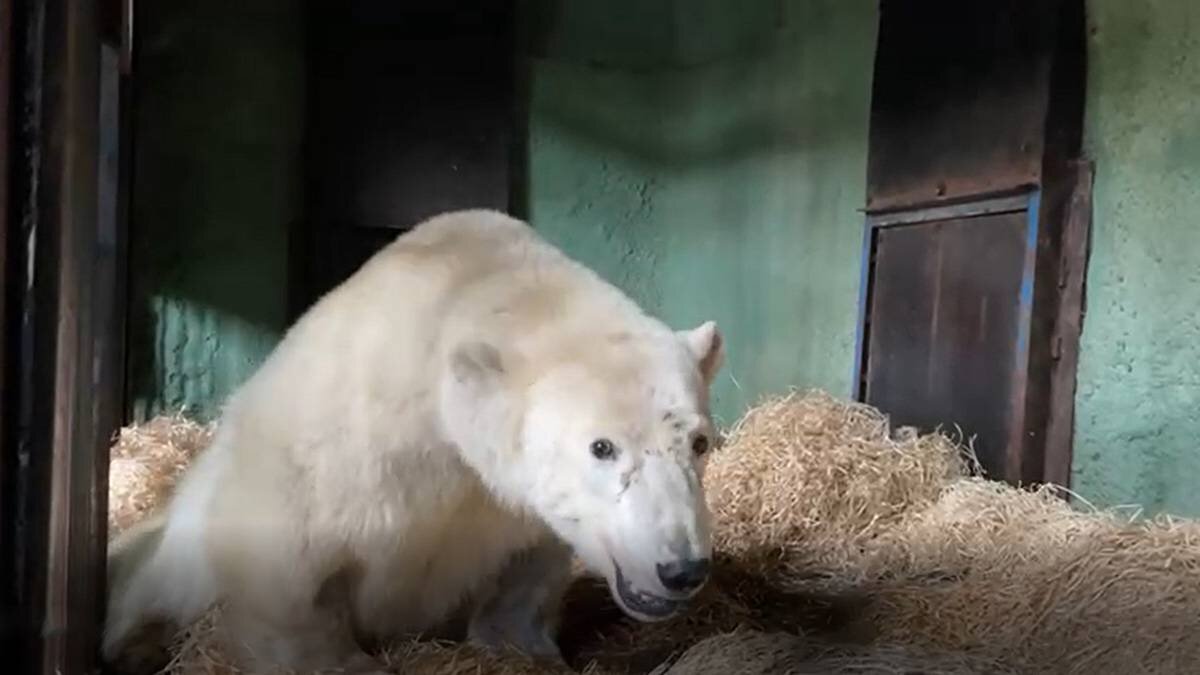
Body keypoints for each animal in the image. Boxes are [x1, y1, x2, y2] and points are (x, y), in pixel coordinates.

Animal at [103, 207, 724, 667]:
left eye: (699, 443)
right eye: (602, 447)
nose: (681, 569)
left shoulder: (506, 501)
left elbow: (527, 568)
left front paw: (523, 647)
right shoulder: (352, 443)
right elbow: (291, 569)